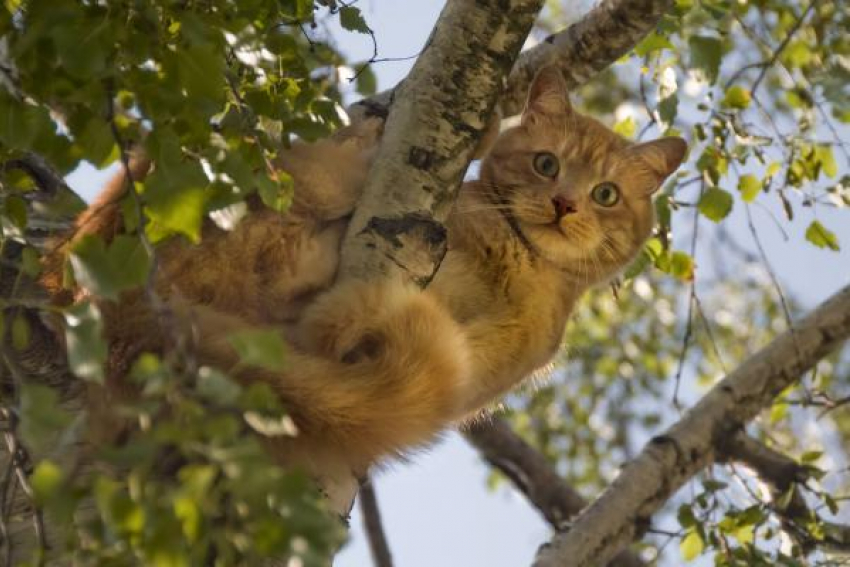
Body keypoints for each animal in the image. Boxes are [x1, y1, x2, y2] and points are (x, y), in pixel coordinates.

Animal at [43, 65, 684, 502]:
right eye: (546, 164)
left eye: (606, 194)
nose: (564, 203)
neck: (521, 263)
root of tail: (105, 308)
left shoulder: (476, 372)